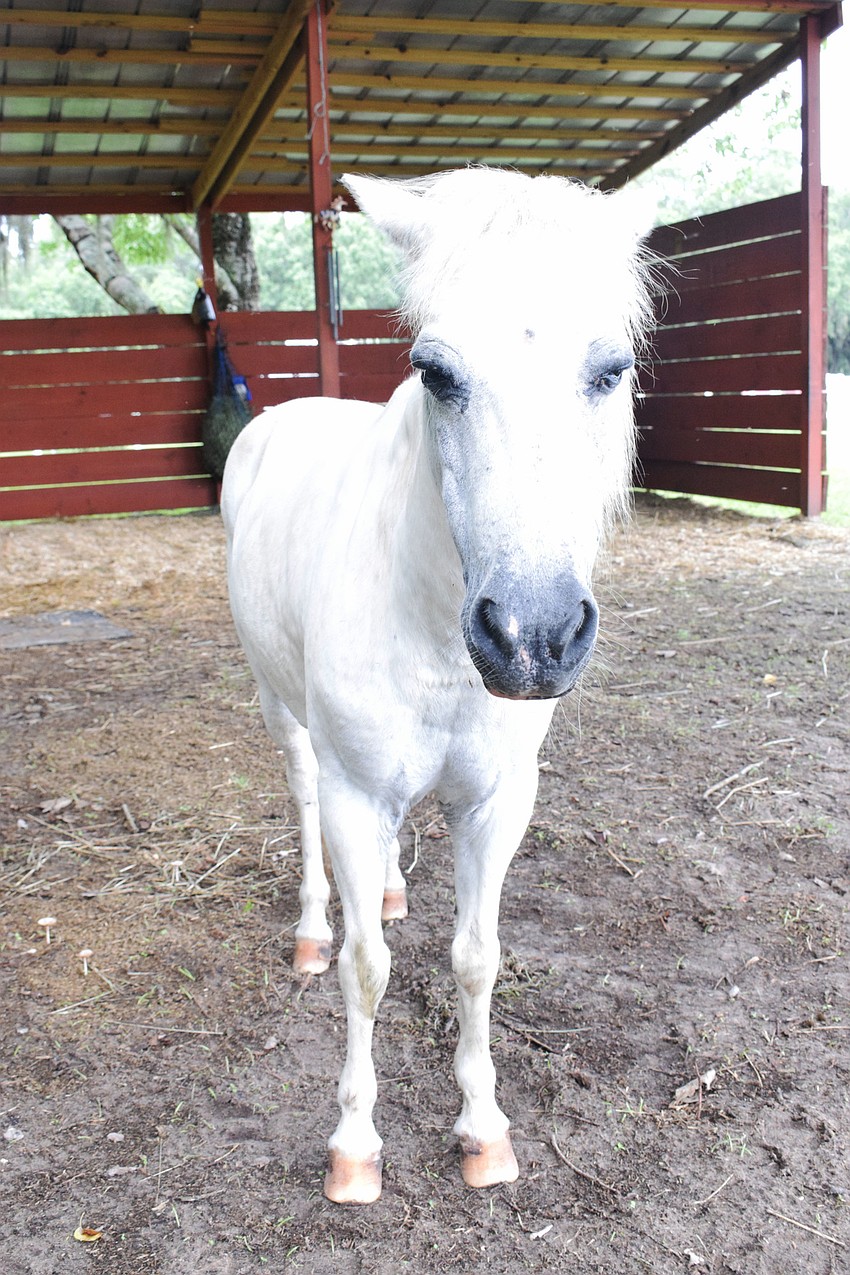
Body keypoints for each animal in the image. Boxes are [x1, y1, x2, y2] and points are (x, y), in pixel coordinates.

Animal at [221, 167, 653, 1204]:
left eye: (610, 370)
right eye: (436, 372)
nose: (532, 637)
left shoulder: (497, 801)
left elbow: (475, 958)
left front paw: (485, 1128)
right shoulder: (355, 791)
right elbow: (366, 969)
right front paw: (354, 1145)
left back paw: (384, 891)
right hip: (283, 713)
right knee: (303, 807)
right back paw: (311, 927)